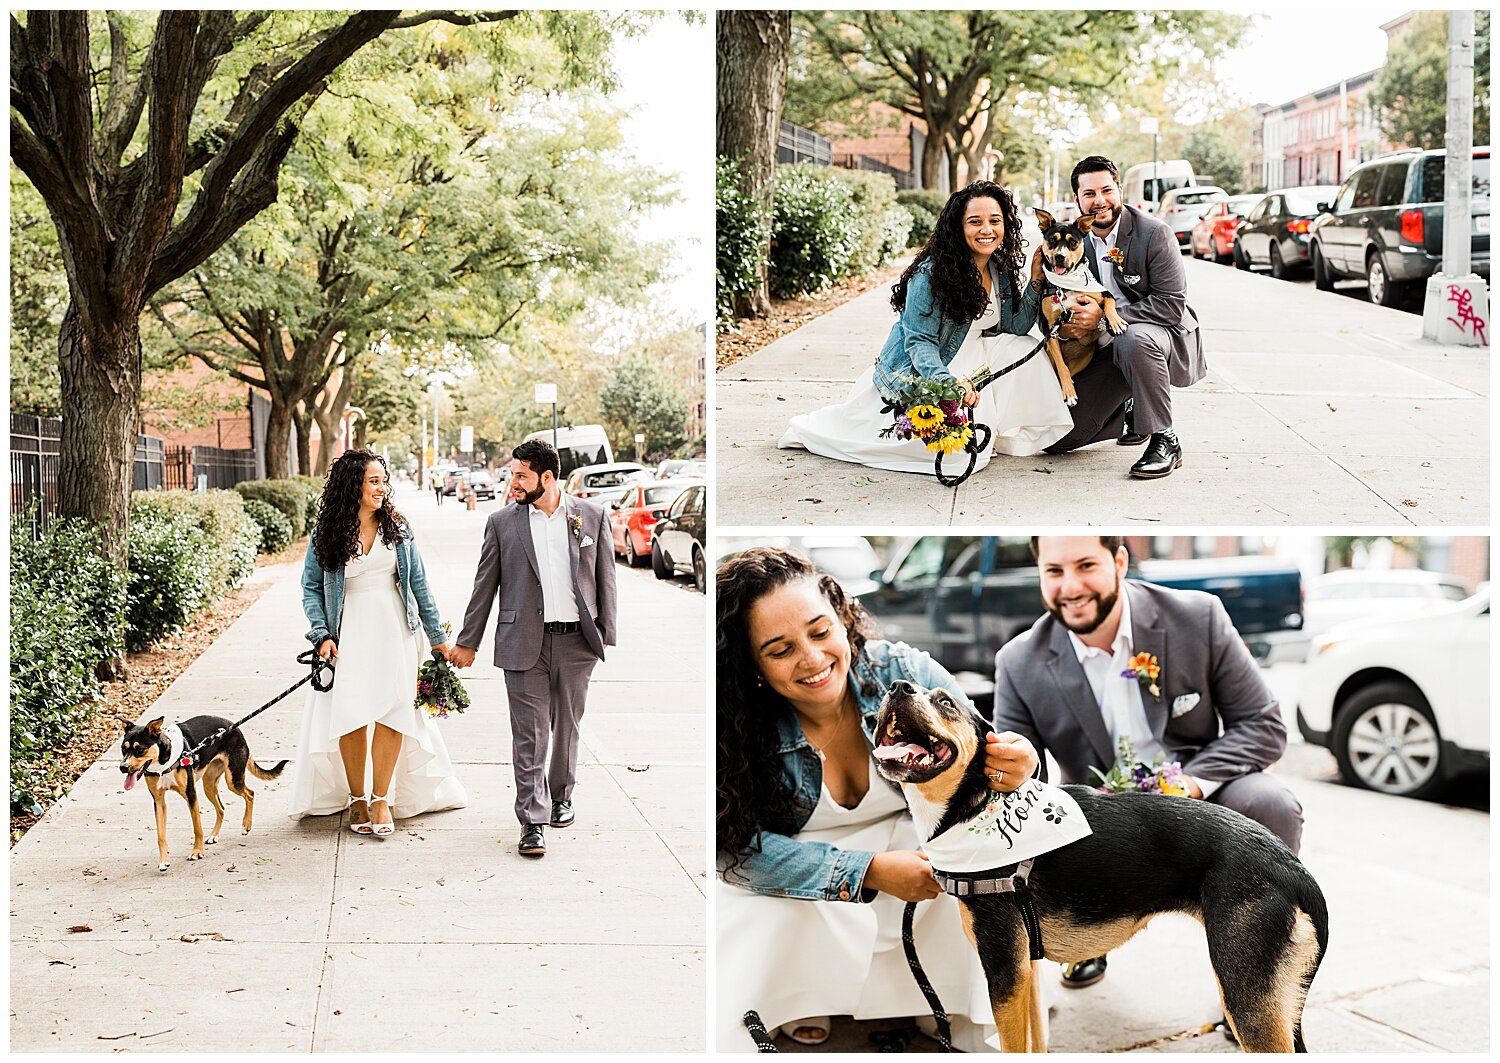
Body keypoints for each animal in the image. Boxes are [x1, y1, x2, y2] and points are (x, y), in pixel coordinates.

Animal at [115, 713, 288, 869]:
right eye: (123, 749)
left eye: (140, 749)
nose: (123, 768)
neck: (165, 761)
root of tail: (235, 727)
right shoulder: (159, 801)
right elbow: (161, 835)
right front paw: (164, 860)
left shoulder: (191, 795)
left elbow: (197, 828)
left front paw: (197, 852)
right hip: (209, 785)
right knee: (222, 808)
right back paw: (214, 835)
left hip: (233, 779)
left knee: (250, 794)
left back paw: (246, 826)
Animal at [876, 680, 1332, 1055]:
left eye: (946, 702)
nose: (896, 687)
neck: (975, 807)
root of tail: (1295, 872)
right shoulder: (1027, 972)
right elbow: (1035, 1044)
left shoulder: (1004, 971)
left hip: (1245, 997)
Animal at [1038, 206, 1128, 407]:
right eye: (1052, 240)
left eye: (1073, 242)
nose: (1060, 257)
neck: (1065, 285)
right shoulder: (1050, 330)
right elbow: (1062, 368)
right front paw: (1069, 393)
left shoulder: (1103, 293)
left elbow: (1110, 303)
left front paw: (1116, 322)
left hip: (1084, 357)